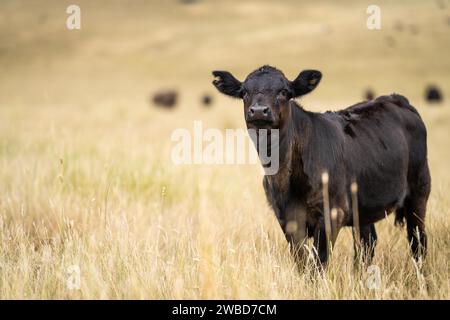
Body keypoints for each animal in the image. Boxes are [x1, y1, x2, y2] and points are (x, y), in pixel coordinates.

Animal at [213, 65, 430, 264]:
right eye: (244, 92)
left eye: (283, 91)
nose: (259, 111)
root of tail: (397, 98)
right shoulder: (287, 218)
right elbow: (301, 261)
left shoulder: (332, 213)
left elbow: (319, 262)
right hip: (363, 204)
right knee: (367, 244)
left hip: (419, 190)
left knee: (417, 240)